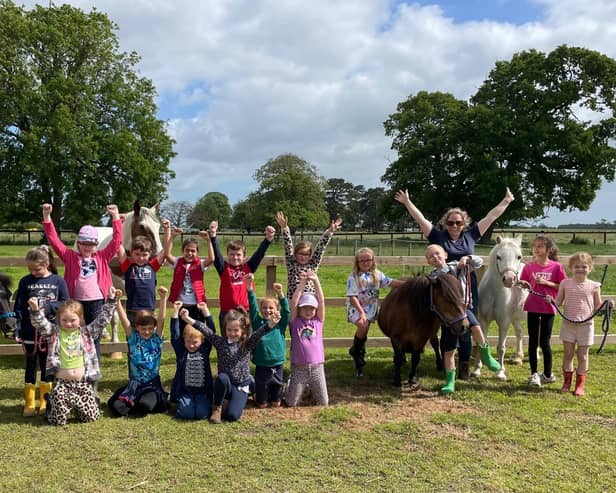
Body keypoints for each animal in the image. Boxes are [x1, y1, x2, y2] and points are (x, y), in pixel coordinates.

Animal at [474, 236, 528, 378]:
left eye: (519, 256)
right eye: (498, 256)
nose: (509, 279)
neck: (495, 293)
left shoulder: (504, 323)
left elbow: (501, 347)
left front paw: (500, 372)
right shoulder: (484, 321)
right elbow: (482, 343)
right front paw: (476, 369)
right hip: (515, 318)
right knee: (519, 333)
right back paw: (518, 357)